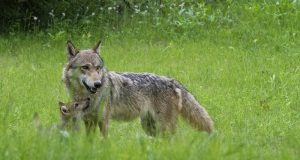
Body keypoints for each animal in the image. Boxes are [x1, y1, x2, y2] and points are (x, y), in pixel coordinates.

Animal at [62, 40, 214, 137]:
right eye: (85, 67)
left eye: (98, 68)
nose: (97, 84)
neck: (87, 97)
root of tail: (173, 81)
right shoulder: (88, 121)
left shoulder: (103, 120)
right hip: (150, 127)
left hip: (163, 126)